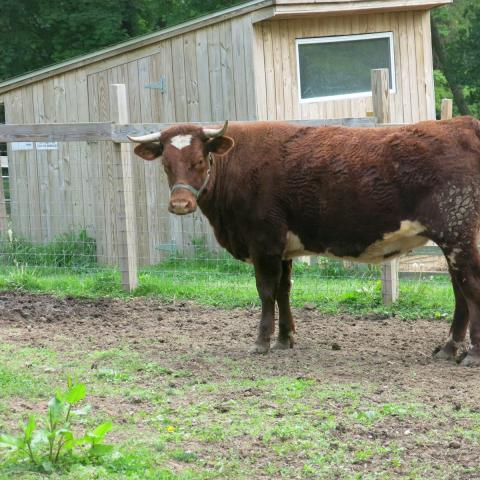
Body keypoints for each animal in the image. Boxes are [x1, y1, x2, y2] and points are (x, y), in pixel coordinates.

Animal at [129, 118, 480, 366]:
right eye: (166, 164)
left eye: (200, 161)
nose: (180, 204)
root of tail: (461, 124)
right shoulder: (283, 249)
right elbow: (284, 290)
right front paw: (286, 338)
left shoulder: (263, 243)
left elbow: (266, 291)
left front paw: (262, 342)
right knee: (459, 291)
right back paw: (449, 348)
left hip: (458, 234)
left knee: (470, 286)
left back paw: (471, 354)